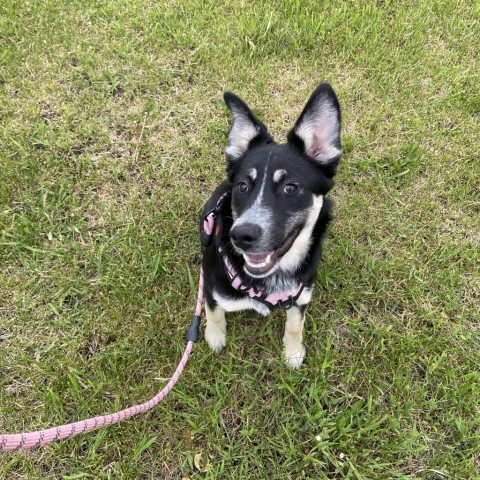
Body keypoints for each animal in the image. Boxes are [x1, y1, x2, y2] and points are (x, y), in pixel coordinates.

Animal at [199, 83, 342, 368]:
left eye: (291, 187)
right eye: (243, 186)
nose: (241, 235)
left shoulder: (301, 296)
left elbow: (296, 325)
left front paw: (293, 353)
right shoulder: (210, 282)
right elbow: (214, 311)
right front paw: (215, 337)